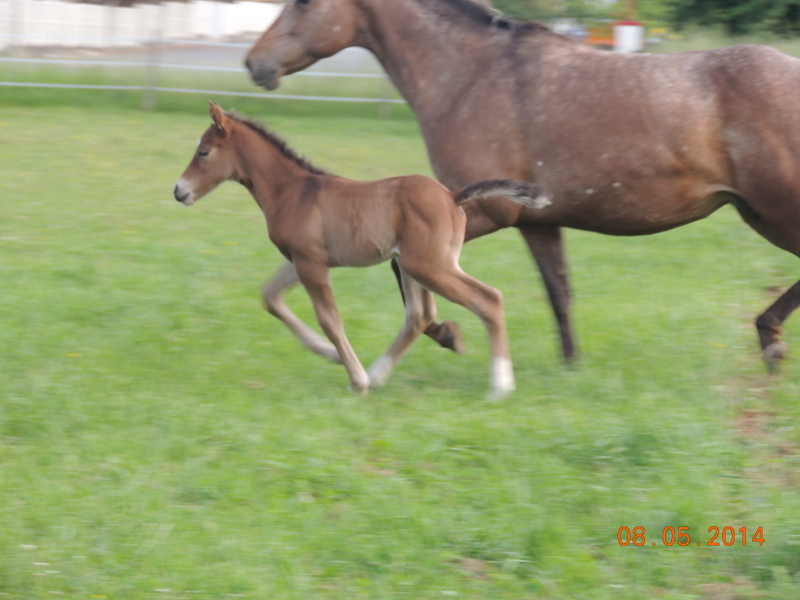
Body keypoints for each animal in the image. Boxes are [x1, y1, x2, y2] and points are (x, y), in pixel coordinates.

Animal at [174, 103, 544, 394]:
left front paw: (356, 379)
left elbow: (329, 319)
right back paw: (379, 373)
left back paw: (499, 386)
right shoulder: (300, 259)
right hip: (411, 266)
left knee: (488, 299)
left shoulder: (311, 263)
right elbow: (271, 297)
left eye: (203, 152)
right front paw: (331, 354)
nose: (179, 191)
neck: (294, 191)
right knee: (420, 315)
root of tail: (452, 196)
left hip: (430, 266)